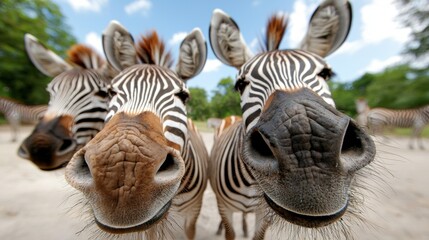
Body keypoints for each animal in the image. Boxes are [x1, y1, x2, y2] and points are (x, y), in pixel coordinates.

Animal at [209, 0, 376, 239]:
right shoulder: (225, 207)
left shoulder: (265, 214)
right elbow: (229, 231)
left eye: (325, 74)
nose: (308, 153)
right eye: (240, 84)